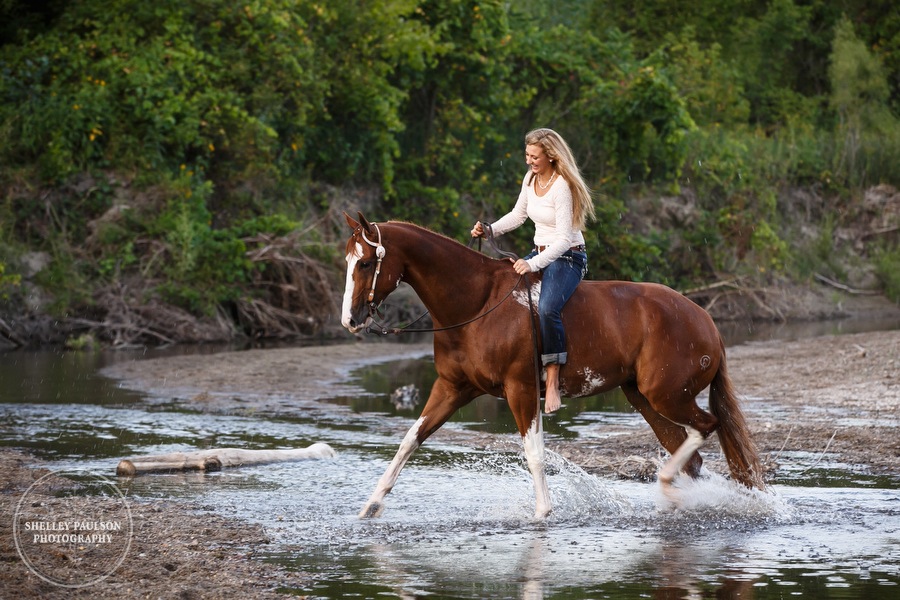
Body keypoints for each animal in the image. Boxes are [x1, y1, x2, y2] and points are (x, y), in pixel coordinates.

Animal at [342, 213, 764, 516]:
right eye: (347, 260)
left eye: (365, 263)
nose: (350, 319)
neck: (477, 304)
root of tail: (705, 320)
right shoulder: (451, 388)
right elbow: (410, 441)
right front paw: (370, 506)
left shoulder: (520, 389)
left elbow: (534, 453)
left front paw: (543, 513)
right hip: (644, 398)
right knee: (692, 456)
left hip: (667, 397)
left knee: (707, 426)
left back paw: (667, 485)